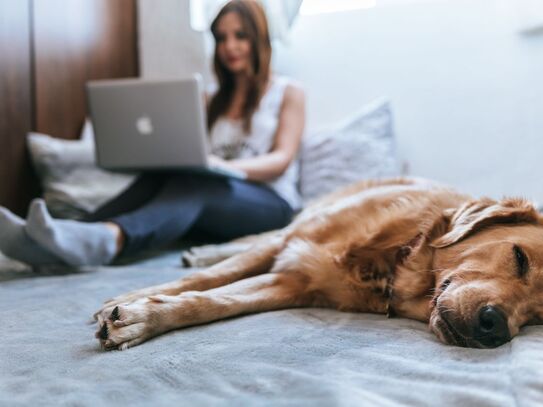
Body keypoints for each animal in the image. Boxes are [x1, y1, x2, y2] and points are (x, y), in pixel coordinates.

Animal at [93, 178, 543, 350]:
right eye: (519, 258)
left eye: (538, 317)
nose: (495, 327)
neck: (395, 257)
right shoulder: (290, 244)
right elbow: (213, 278)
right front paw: (132, 300)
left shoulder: (290, 283)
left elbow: (213, 301)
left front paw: (143, 318)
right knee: (249, 241)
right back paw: (202, 250)